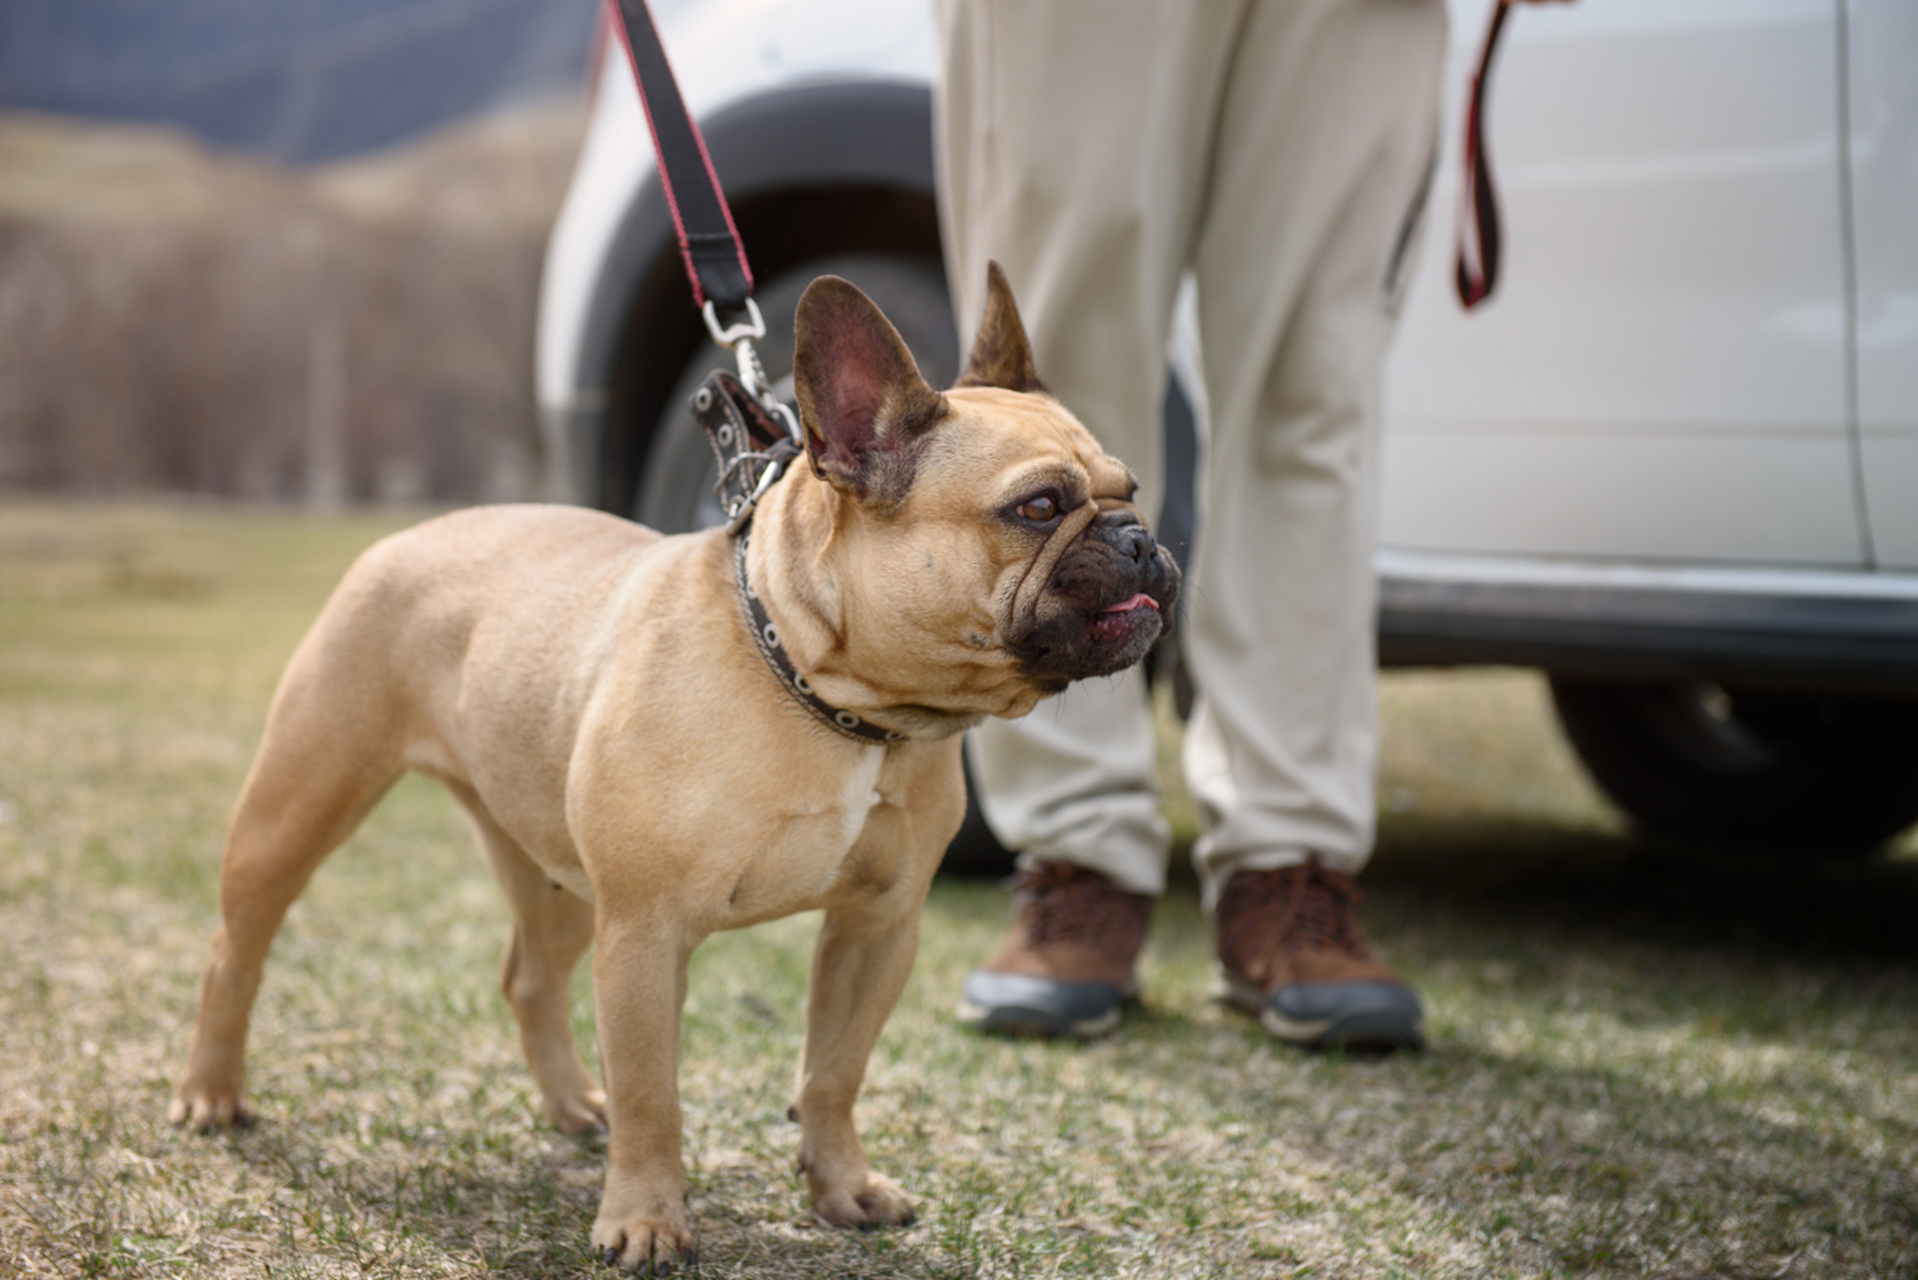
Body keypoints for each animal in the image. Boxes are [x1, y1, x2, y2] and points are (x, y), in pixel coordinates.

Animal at [168, 262, 1181, 1274]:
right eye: (1038, 507)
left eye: (1132, 487)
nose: (1141, 538)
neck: (832, 698)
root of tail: (415, 533)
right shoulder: (646, 937)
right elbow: (654, 1093)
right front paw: (646, 1219)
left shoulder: (876, 927)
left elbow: (835, 1070)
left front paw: (841, 1186)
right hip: (300, 806)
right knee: (234, 951)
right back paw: (211, 1095)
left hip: (558, 876)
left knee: (529, 977)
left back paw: (572, 1103)